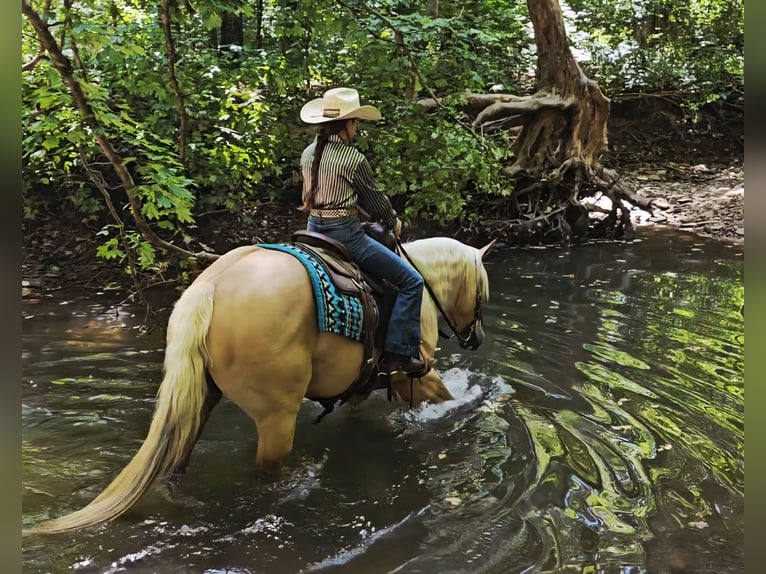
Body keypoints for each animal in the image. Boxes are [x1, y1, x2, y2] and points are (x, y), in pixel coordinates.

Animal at [23, 235, 494, 535]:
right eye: (482, 294)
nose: (476, 338)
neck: (422, 289)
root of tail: (211, 287)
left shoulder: (362, 388)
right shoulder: (416, 376)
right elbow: (446, 398)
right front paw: (473, 402)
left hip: (200, 401)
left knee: (177, 458)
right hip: (276, 416)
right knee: (265, 475)